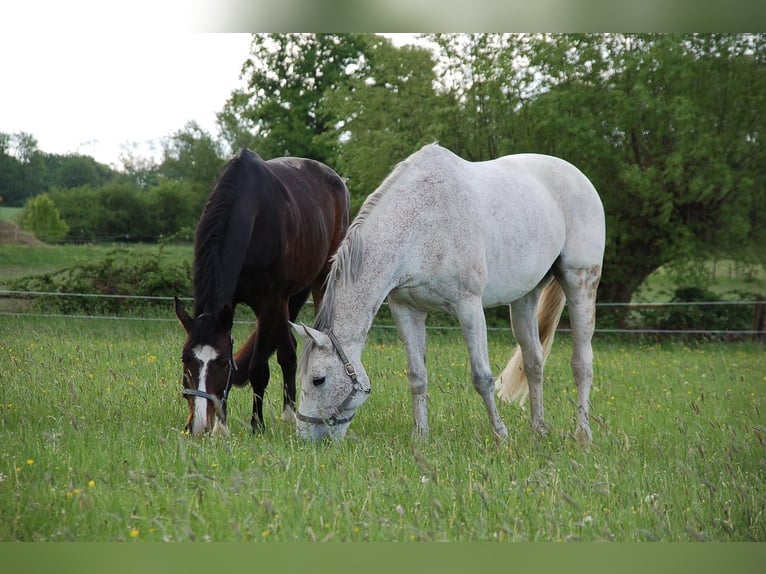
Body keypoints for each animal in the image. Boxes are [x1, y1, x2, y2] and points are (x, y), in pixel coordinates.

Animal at [176, 148, 350, 436]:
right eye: (185, 360)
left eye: (223, 363)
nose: (198, 426)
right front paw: (222, 426)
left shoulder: (269, 303)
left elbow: (259, 369)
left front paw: (257, 425)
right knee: (288, 350)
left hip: (319, 282)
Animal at [294, 143, 608, 446]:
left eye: (318, 380)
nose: (305, 437)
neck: (421, 222)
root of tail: (579, 177)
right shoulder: (405, 309)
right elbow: (417, 377)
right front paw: (421, 437)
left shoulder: (468, 306)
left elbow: (482, 377)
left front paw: (500, 436)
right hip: (525, 298)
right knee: (533, 363)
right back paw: (538, 431)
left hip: (580, 282)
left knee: (582, 363)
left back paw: (583, 434)